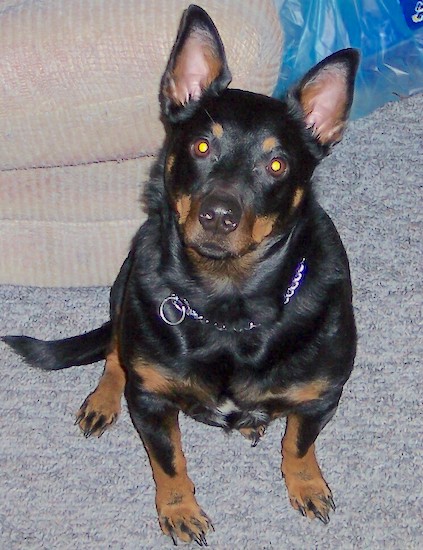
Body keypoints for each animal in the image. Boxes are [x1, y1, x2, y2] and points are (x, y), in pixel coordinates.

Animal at [4, 5, 360, 548]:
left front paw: (306, 485)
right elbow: (169, 462)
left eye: (277, 164)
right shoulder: (151, 400)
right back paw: (103, 399)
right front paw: (179, 511)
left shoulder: (322, 395)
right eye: (202, 146)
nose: (218, 215)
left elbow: (299, 443)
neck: (227, 306)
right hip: (123, 288)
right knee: (116, 352)